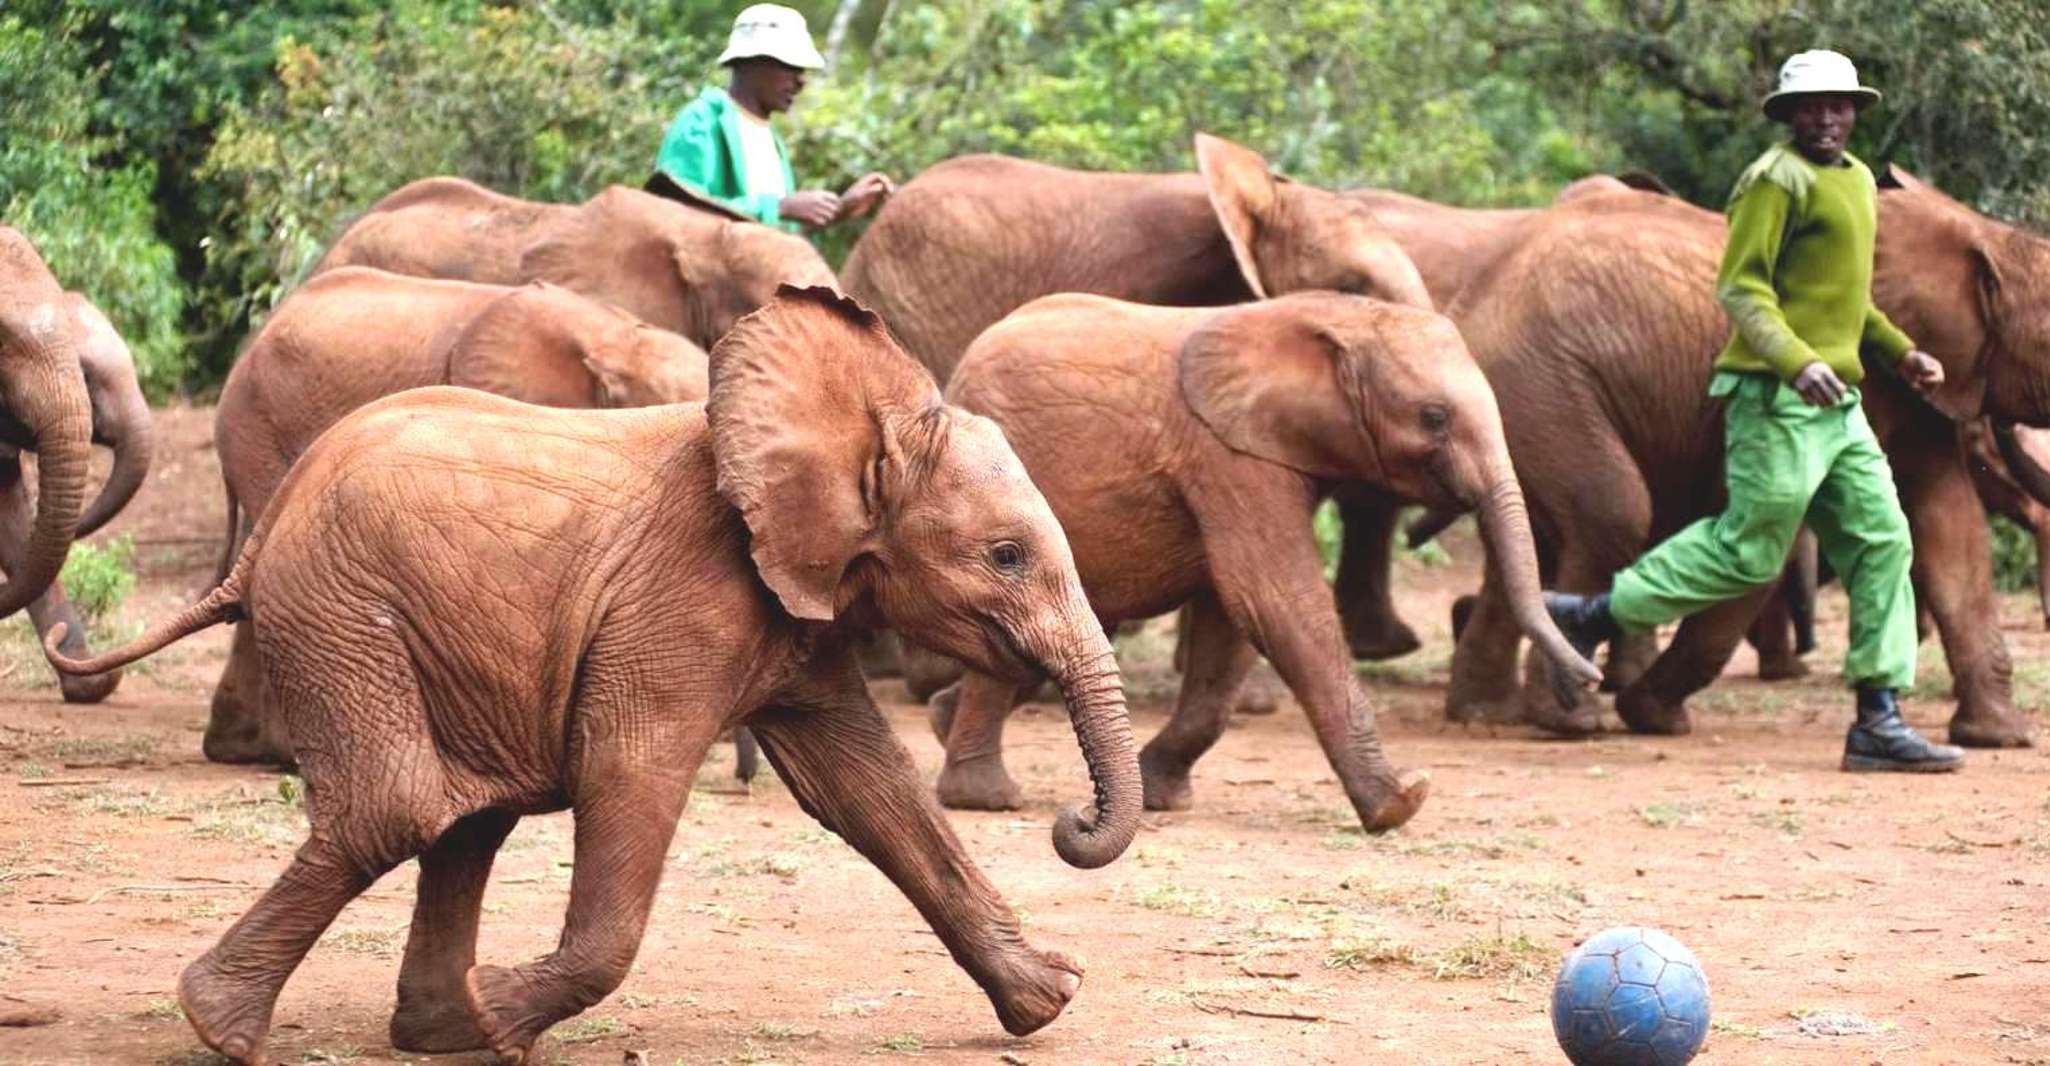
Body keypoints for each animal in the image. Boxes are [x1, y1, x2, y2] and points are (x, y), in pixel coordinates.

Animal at [926, 291, 1601, 834]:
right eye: (1432, 418)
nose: (1588, 682)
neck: (1334, 317)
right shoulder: (1230, 457)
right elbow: (1275, 601)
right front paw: (1400, 803)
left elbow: (1229, 625)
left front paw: (1163, 797)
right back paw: (985, 797)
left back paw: (940, 722)